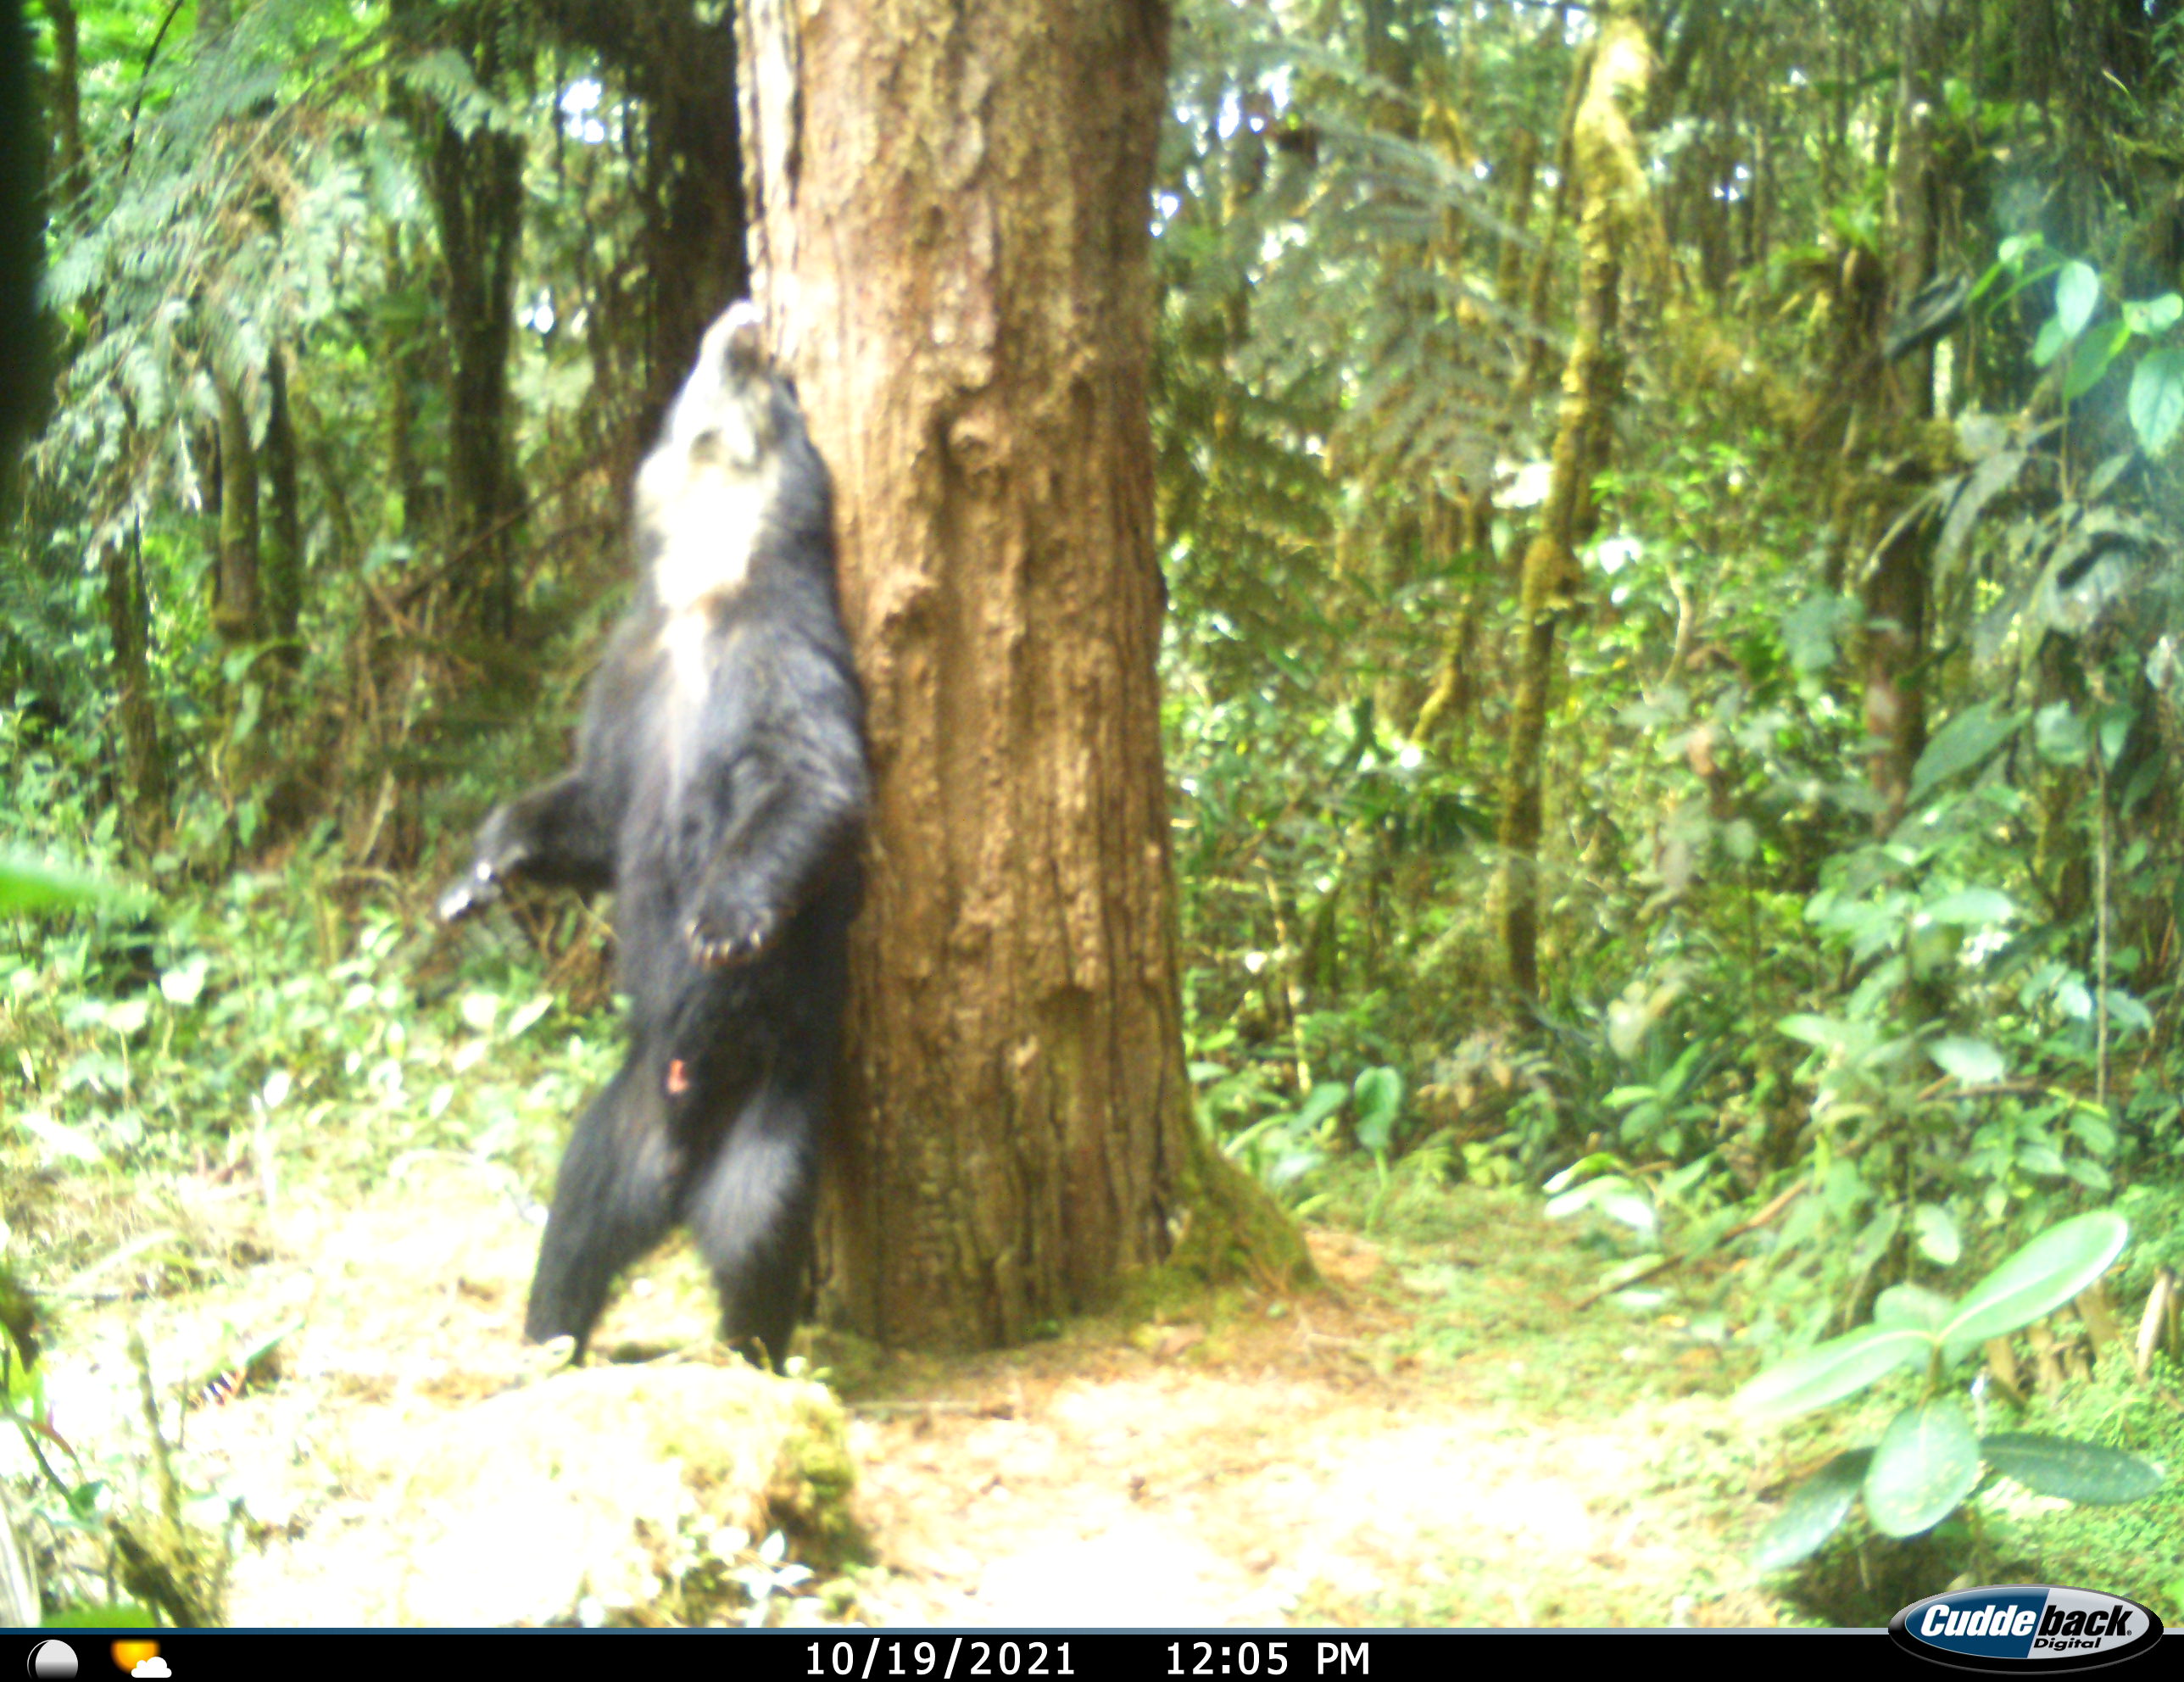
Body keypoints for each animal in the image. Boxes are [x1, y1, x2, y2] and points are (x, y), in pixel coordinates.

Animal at [438, 305, 865, 1362]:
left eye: (782, 395)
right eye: (704, 370)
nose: (747, 319)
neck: (709, 587)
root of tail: (676, 1170)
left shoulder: (782, 647)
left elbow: (815, 781)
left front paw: (723, 918)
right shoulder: (630, 672)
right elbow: (592, 805)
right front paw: (479, 870)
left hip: (777, 1110)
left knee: (756, 1230)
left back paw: (755, 1355)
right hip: (613, 1126)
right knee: (572, 1224)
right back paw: (546, 1345)